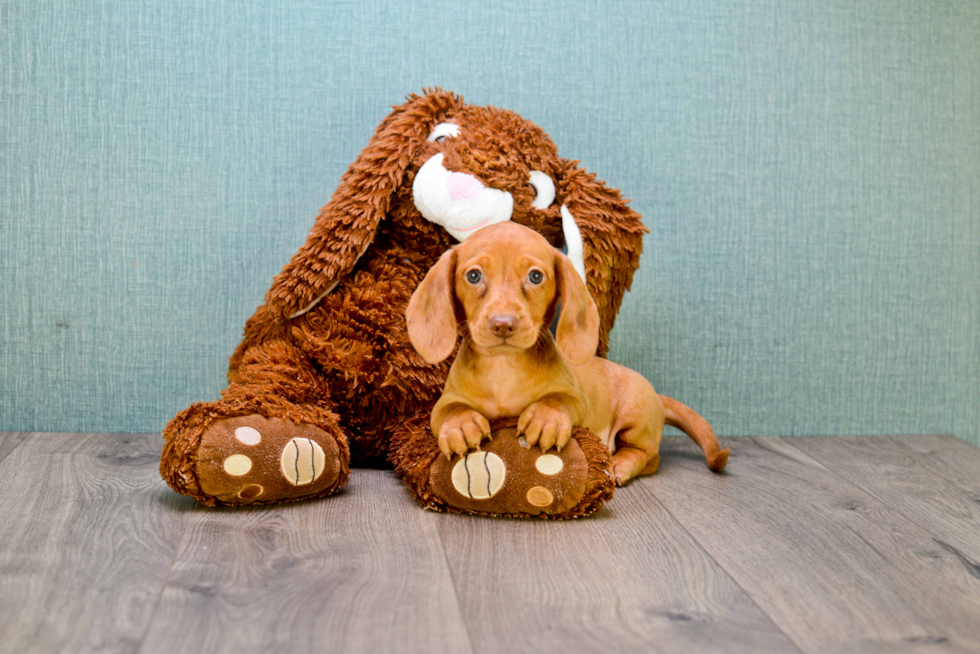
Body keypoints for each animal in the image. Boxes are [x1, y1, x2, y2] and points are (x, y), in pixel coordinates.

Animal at [408, 223, 728, 484]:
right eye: (474, 276)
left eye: (536, 276)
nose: (503, 324)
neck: (503, 367)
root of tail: (658, 396)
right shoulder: (445, 401)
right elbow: (451, 409)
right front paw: (461, 425)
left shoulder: (574, 397)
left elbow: (557, 399)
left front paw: (545, 419)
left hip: (635, 420)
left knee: (648, 455)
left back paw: (621, 464)